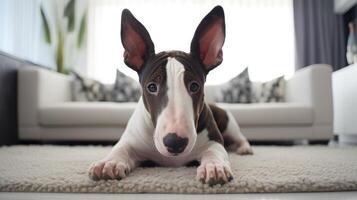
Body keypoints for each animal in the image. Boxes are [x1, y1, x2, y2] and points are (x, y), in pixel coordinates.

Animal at [87, 5, 252, 185]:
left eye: (194, 86)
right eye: (152, 87)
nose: (175, 142)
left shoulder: (214, 141)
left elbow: (214, 151)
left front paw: (214, 167)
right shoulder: (131, 141)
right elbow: (121, 148)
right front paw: (108, 163)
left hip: (228, 122)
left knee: (239, 137)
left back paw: (244, 148)